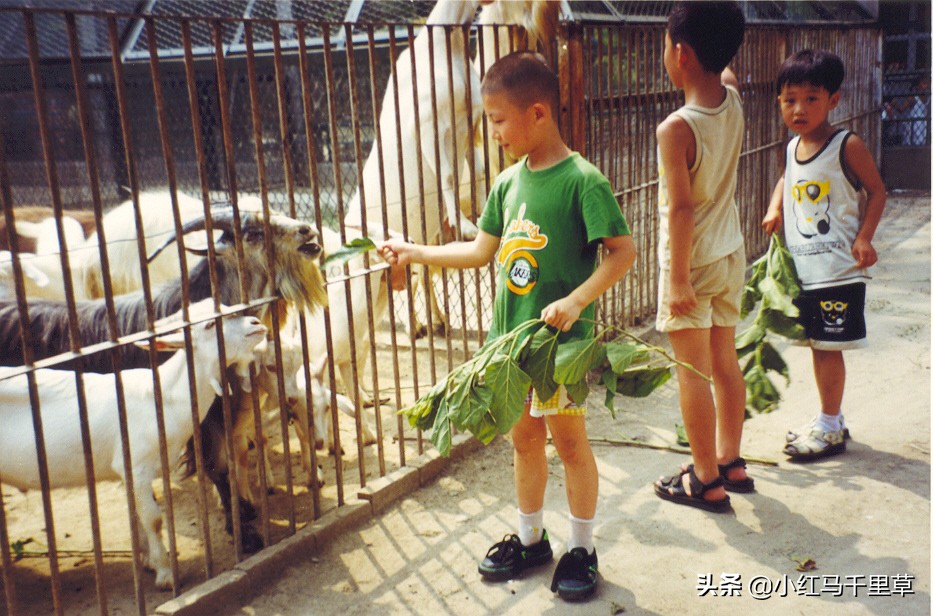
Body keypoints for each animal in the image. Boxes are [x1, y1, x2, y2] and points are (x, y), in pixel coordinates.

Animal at [0, 300, 268, 588]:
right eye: (209, 324)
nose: (256, 323)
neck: (163, 398)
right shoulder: (136, 467)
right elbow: (154, 519)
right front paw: (165, 573)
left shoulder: (130, 474)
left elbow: (139, 517)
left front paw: (149, 560)